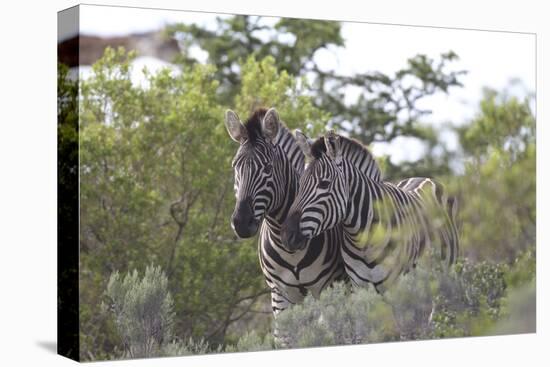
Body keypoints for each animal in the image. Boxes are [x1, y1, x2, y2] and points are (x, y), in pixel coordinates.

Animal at [223, 108, 344, 318]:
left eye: (267, 168)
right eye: (235, 166)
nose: (241, 222)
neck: (288, 249)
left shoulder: (327, 286)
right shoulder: (279, 294)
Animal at [282, 131, 460, 294]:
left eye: (324, 184)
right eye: (300, 182)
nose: (287, 235)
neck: (363, 243)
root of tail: (423, 178)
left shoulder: (397, 285)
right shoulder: (361, 286)